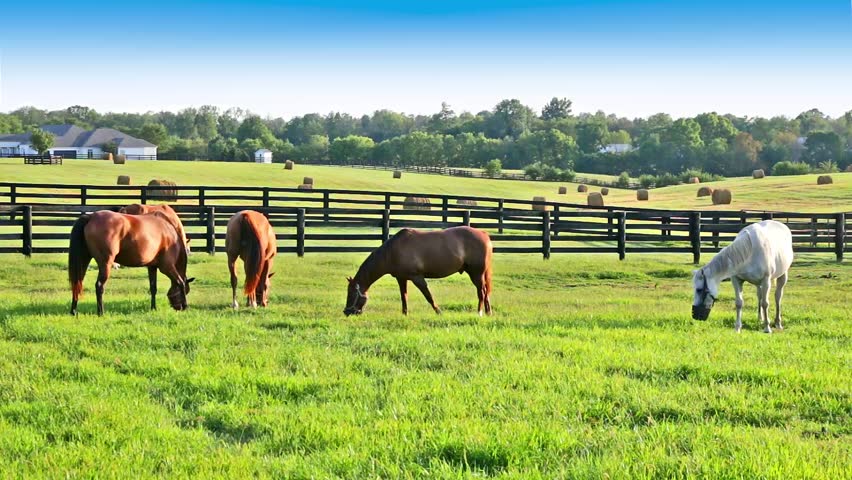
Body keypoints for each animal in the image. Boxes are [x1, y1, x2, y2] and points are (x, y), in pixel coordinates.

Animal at [344, 226, 492, 316]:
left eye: (351, 294)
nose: (346, 312)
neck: (392, 251)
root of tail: (484, 234)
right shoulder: (401, 278)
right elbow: (404, 297)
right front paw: (405, 314)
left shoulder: (417, 278)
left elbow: (428, 296)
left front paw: (438, 312)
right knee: (485, 292)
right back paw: (488, 312)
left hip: (476, 274)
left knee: (481, 292)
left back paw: (479, 312)